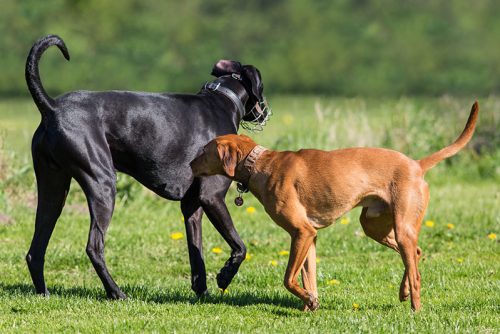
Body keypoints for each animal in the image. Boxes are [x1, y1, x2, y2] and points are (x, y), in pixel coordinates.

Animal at [24, 35, 270, 298]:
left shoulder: (192, 206)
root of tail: (51, 108)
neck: (222, 99)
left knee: (35, 251)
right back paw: (116, 293)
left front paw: (202, 292)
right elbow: (240, 247)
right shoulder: (211, 197)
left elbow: (197, 254)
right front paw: (225, 276)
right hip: (102, 184)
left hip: (53, 190)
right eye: (262, 86)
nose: (265, 112)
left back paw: (44, 293)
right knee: (94, 247)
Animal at [189, 102, 478, 310]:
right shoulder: (308, 236)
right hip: (374, 225)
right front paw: (310, 304)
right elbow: (308, 277)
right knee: (416, 254)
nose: (189, 164)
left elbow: (288, 278)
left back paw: (415, 308)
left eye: (204, 150)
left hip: (402, 227)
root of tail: (416, 165)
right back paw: (403, 291)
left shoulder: (302, 232)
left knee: (415, 270)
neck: (261, 165)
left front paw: (308, 301)